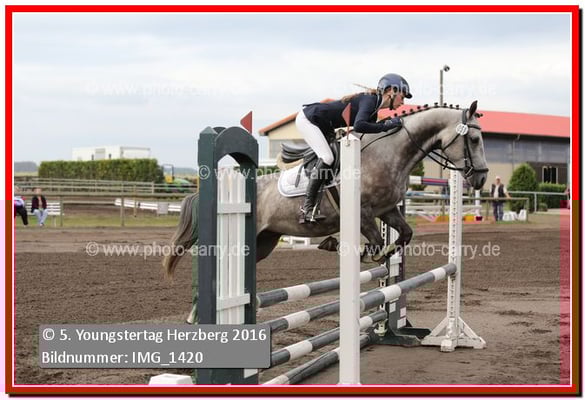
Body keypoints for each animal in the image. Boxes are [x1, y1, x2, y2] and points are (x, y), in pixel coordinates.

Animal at [164, 101, 488, 277]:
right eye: (474, 140)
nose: (482, 178)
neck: (388, 152)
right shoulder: (363, 213)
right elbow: (375, 244)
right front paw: (346, 248)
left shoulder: (387, 210)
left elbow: (403, 235)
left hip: (264, 241)